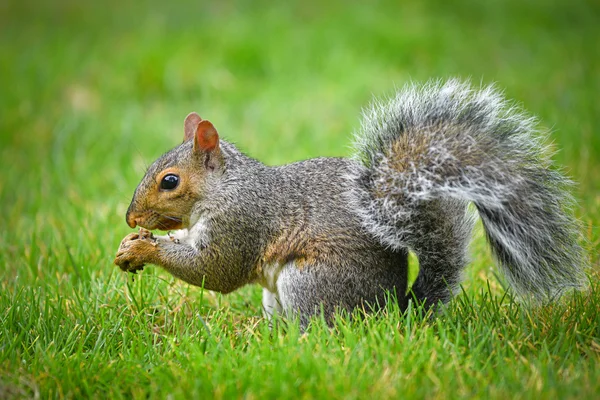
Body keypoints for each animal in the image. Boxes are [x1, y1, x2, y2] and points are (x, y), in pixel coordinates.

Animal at [112, 79, 584, 326]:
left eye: (169, 181)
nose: (130, 217)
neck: (226, 187)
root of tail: (393, 313)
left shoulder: (242, 221)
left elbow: (216, 270)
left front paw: (144, 248)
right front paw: (131, 245)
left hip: (309, 283)